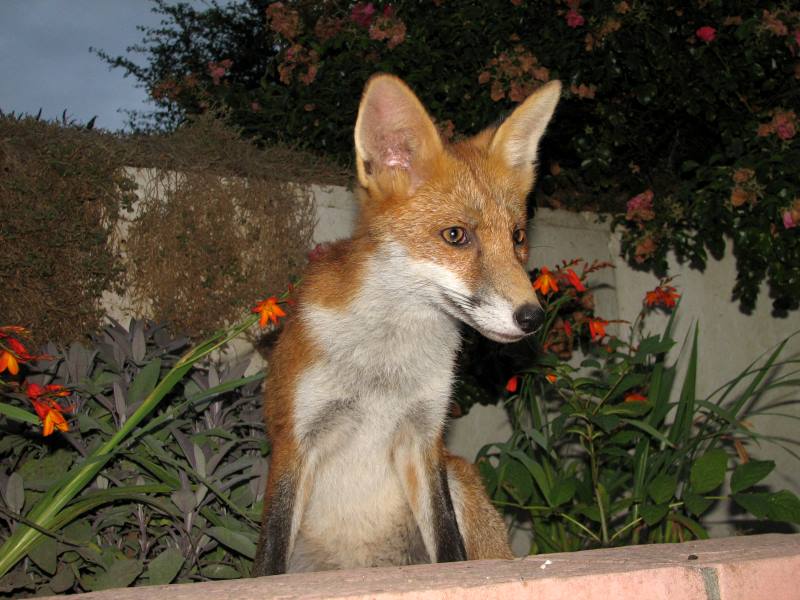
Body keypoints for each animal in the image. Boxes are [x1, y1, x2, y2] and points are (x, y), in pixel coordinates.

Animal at [252, 73, 561, 575]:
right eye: (455, 235)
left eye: (517, 238)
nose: (533, 317)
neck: (384, 366)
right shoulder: (295, 439)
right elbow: (268, 560)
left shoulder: (424, 439)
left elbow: (450, 548)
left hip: (458, 474)